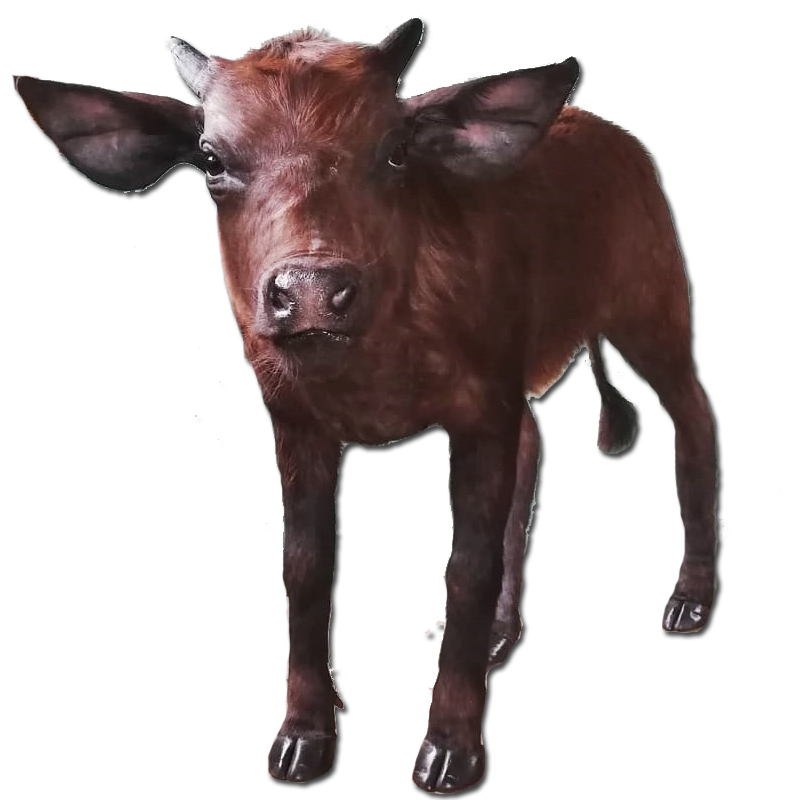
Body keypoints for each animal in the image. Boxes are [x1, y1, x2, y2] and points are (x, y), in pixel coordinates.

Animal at [13, 17, 718, 794]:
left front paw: (448, 748)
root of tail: (604, 129)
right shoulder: (297, 423)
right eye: (212, 160)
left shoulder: (478, 412)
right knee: (534, 452)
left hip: (654, 313)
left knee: (694, 420)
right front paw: (301, 736)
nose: (312, 291)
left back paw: (689, 601)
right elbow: (305, 566)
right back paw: (504, 634)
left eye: (393, 151)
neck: (371, 355)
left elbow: (465, 569)